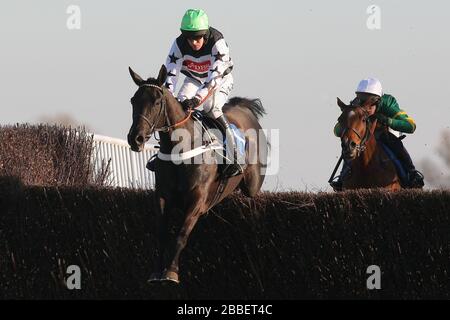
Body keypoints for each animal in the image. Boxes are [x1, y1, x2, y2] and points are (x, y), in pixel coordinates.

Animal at [126, 64, 268, 282]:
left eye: (157, 102)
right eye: (133, 101)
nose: (136, 138)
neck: (180, 148)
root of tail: (245, 110)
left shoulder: (197, 199)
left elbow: (181, 235)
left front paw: (171, 272)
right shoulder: (162, 196)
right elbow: (161, 234)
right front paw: (157, 271)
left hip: (252, 183)